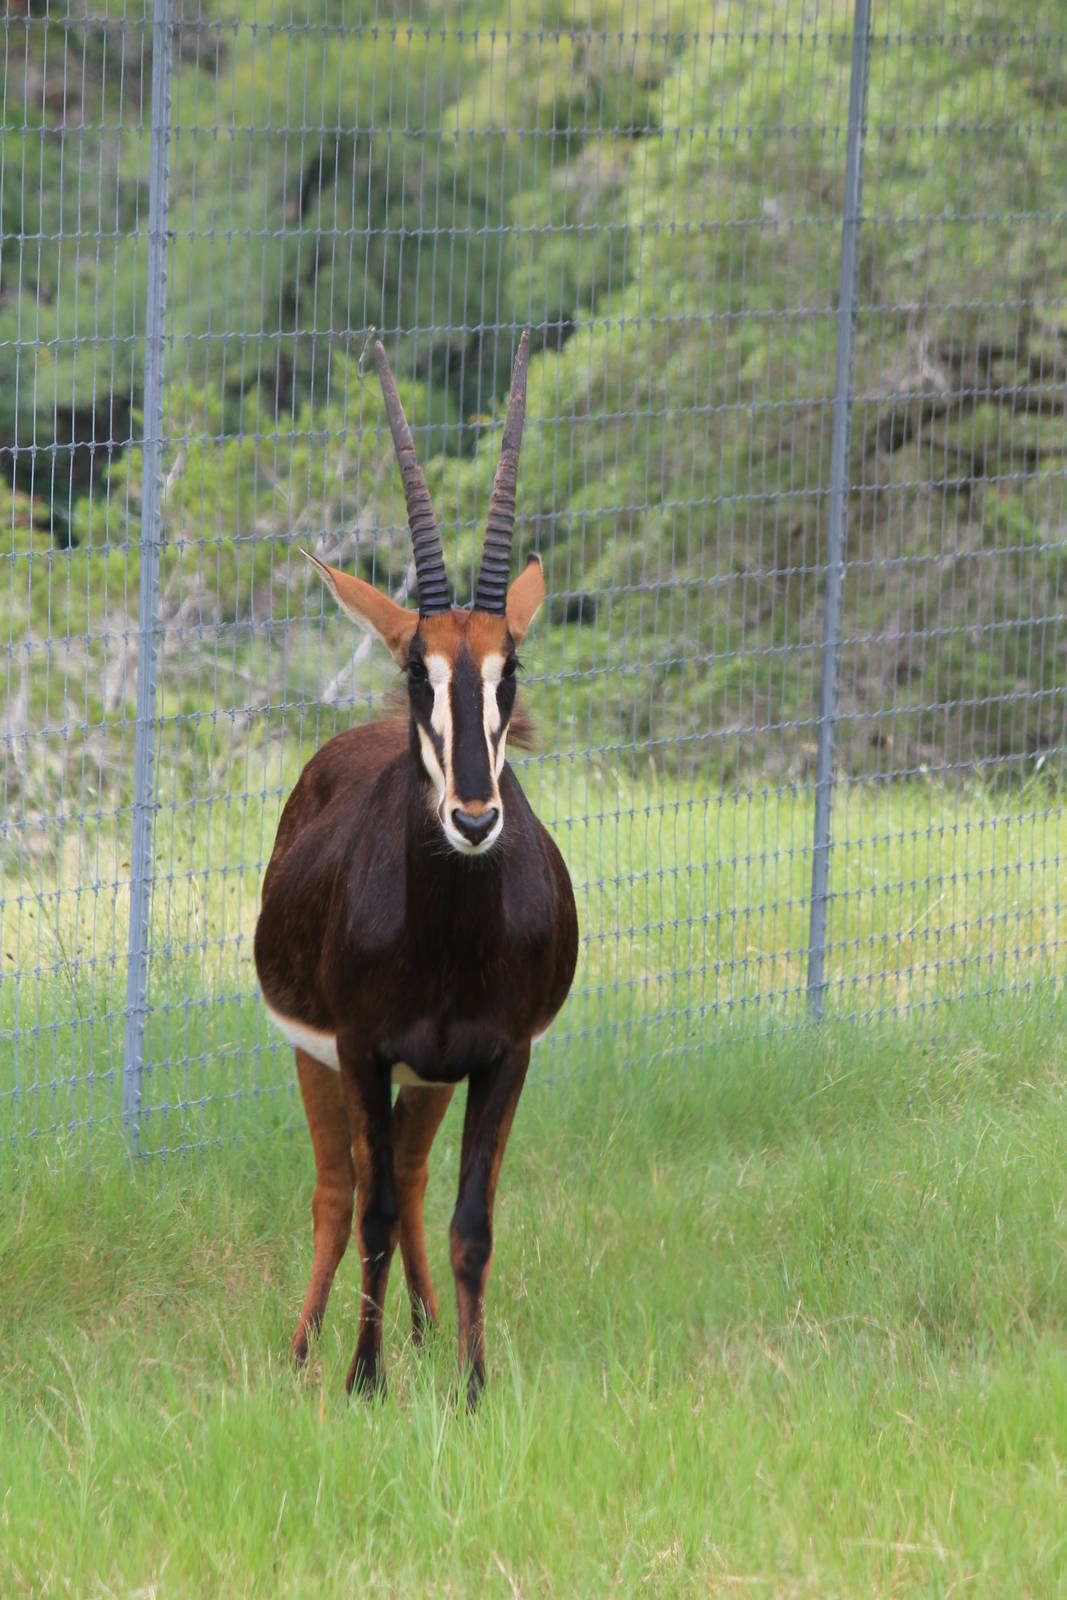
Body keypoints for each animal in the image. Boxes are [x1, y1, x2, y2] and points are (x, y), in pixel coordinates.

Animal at [254, 330, 578, 1405]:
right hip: (316, 1058)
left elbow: (470, 1220)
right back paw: (305, 1348)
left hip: (430, 1074)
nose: (473, 817)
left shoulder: (501, 1054)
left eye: (508, 669)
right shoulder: (357, 1047)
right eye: (414, 670)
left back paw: (429, 1328)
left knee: (406, 1170)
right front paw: (363, 1380)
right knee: (341, 1186)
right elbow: (371, 1213)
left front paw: (471, 1384)